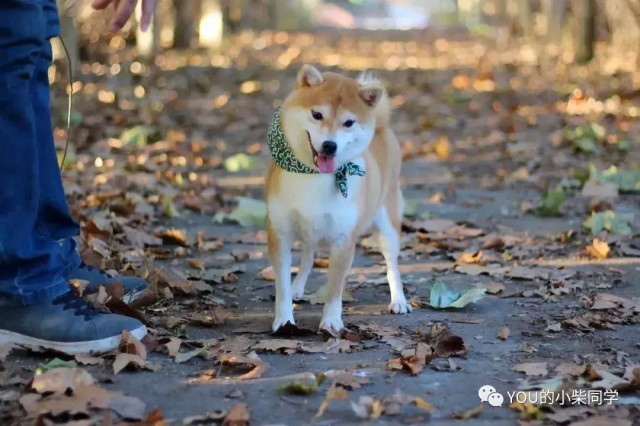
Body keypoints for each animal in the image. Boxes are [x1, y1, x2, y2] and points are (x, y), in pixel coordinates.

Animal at [264, 65, 410, 334]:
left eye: (349, 122)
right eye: (317, 114)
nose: (329, 146)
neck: (314, 175)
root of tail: (383, 127)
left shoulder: (344, 239)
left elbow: (335, 288)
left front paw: (331, 321)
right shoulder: (279, 232)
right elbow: (283, 286)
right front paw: (284, 319)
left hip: (388, 225)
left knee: (392, 265)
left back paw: (399, 300)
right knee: (308, 255)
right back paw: (298, 287)